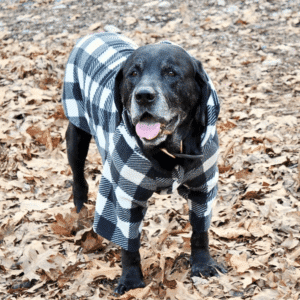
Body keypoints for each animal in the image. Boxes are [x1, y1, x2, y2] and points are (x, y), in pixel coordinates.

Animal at [63, 32, 227, 296]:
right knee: (78, 178)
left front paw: (203, 264)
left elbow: (200, 232)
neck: (170, 151)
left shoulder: (204, 186)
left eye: (171, 72)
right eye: (133, 73)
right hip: (76, 133)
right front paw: (131, 281)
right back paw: (80, 210)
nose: (143, 96)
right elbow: (129, 245)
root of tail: (95, 33)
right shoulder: (125, 197)